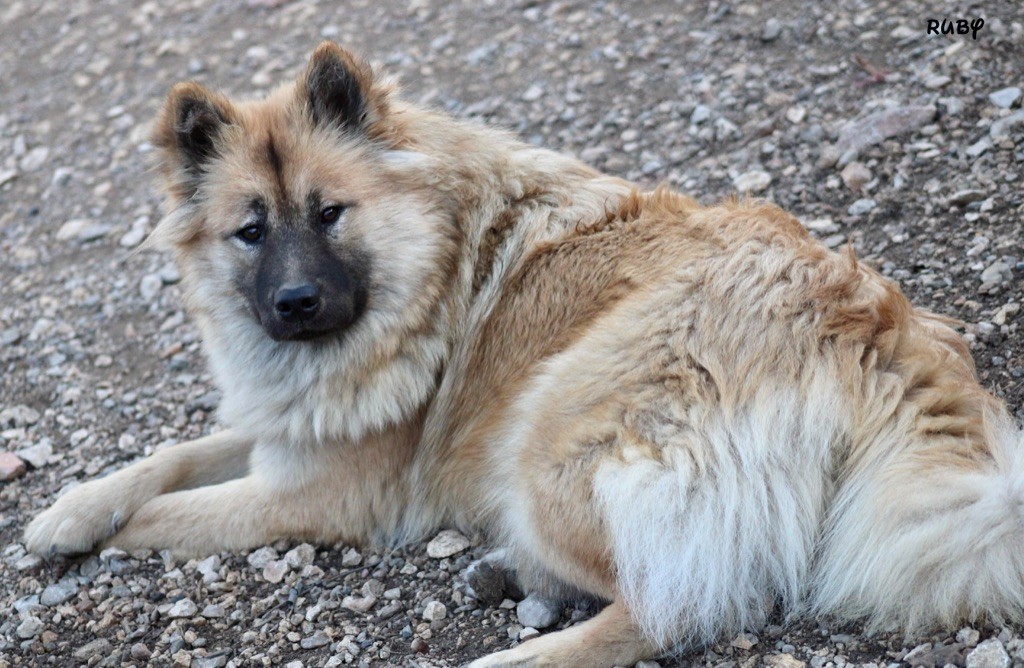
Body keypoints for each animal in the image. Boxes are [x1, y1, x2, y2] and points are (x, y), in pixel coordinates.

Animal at [25, 43, 1024, 667]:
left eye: (330, 212)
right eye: (250, 230)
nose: (295, 304)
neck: (429, 259)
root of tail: (870, 324)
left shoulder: (316, 491)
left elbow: (168, 514)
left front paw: (98, 537)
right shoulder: (296, 422)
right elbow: (167, 458)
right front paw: (69, 512)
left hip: (549, 433)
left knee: (677, 607)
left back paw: (524, 652)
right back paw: (512, 573)